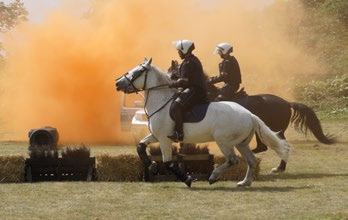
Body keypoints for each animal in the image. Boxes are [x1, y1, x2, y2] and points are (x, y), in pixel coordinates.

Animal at [115, 58, 290, 187]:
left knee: (233, 159)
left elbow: (169, 162)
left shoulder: (164, 139)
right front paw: (150, 164)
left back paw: (213, 176)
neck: (162, 102)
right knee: (251, 160)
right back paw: (244, 182)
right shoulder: (156, 136)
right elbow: (140, 146)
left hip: (224, 141)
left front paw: (187, 179)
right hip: (241, 143)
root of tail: (250, 114)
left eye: (138, 72)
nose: (117, 83)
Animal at [167, 60, 336, 172]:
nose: (169, 84)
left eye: (173, 72)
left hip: (272, 130)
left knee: (274, 147)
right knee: (271, 147)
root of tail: (287, 103)